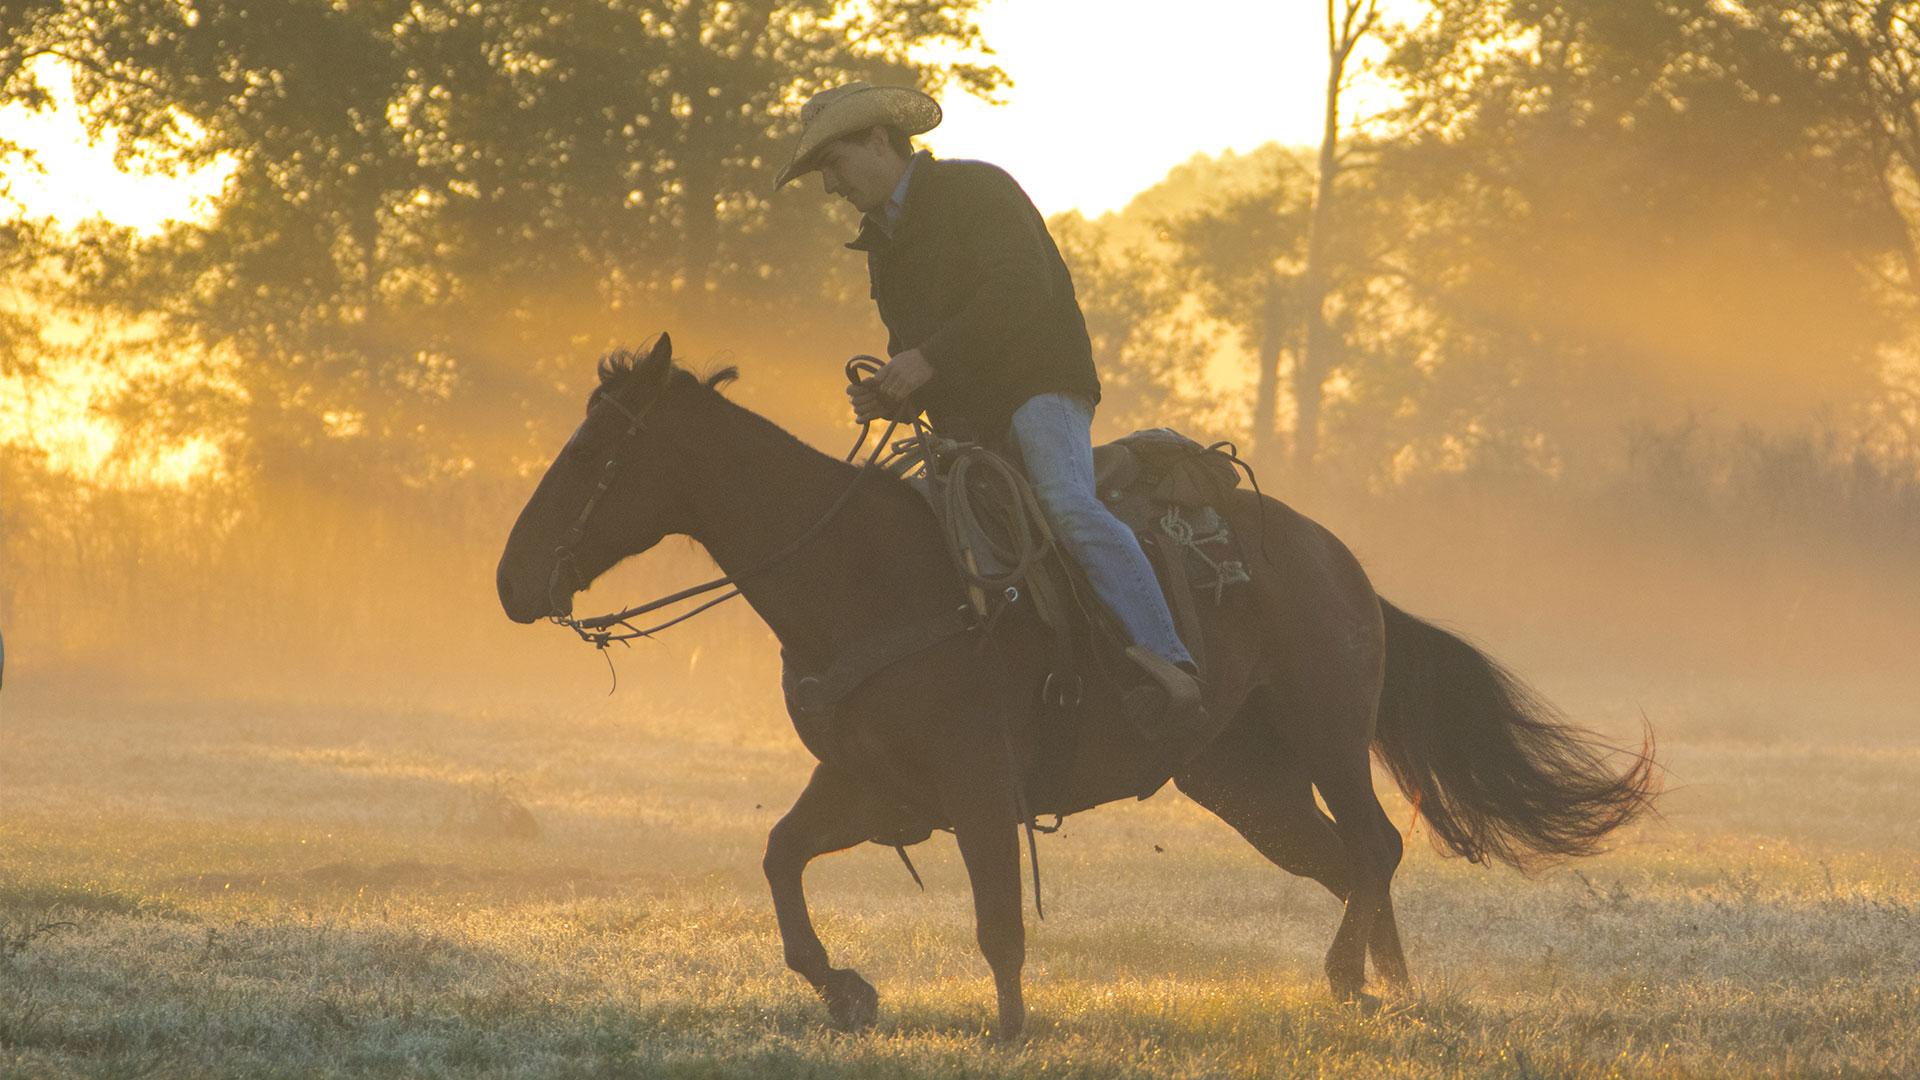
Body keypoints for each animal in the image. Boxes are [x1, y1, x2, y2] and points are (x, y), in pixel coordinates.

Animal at [503, 334, 1658, 1037]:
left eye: (597, 451)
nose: (513, 580)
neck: (868, 577)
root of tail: (1341, 563)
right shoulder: (872, 789)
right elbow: (782, 858)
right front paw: (848, 991)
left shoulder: (978, 785)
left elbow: (997, 921)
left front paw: (1009, 1034)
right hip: (1244, 782)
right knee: (1344, 865)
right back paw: (1387, 991)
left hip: (1329, 735)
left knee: (1375, 846)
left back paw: (1350, 983)